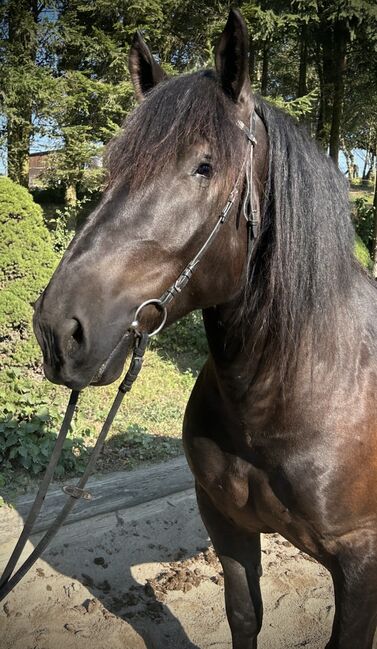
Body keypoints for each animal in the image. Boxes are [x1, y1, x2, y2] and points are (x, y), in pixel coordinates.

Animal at [32, 10, 376, 648]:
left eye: (203, 167)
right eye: (113, 167)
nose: (59, 331)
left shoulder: (360, 561)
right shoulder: (226, 522)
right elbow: (244, 616)